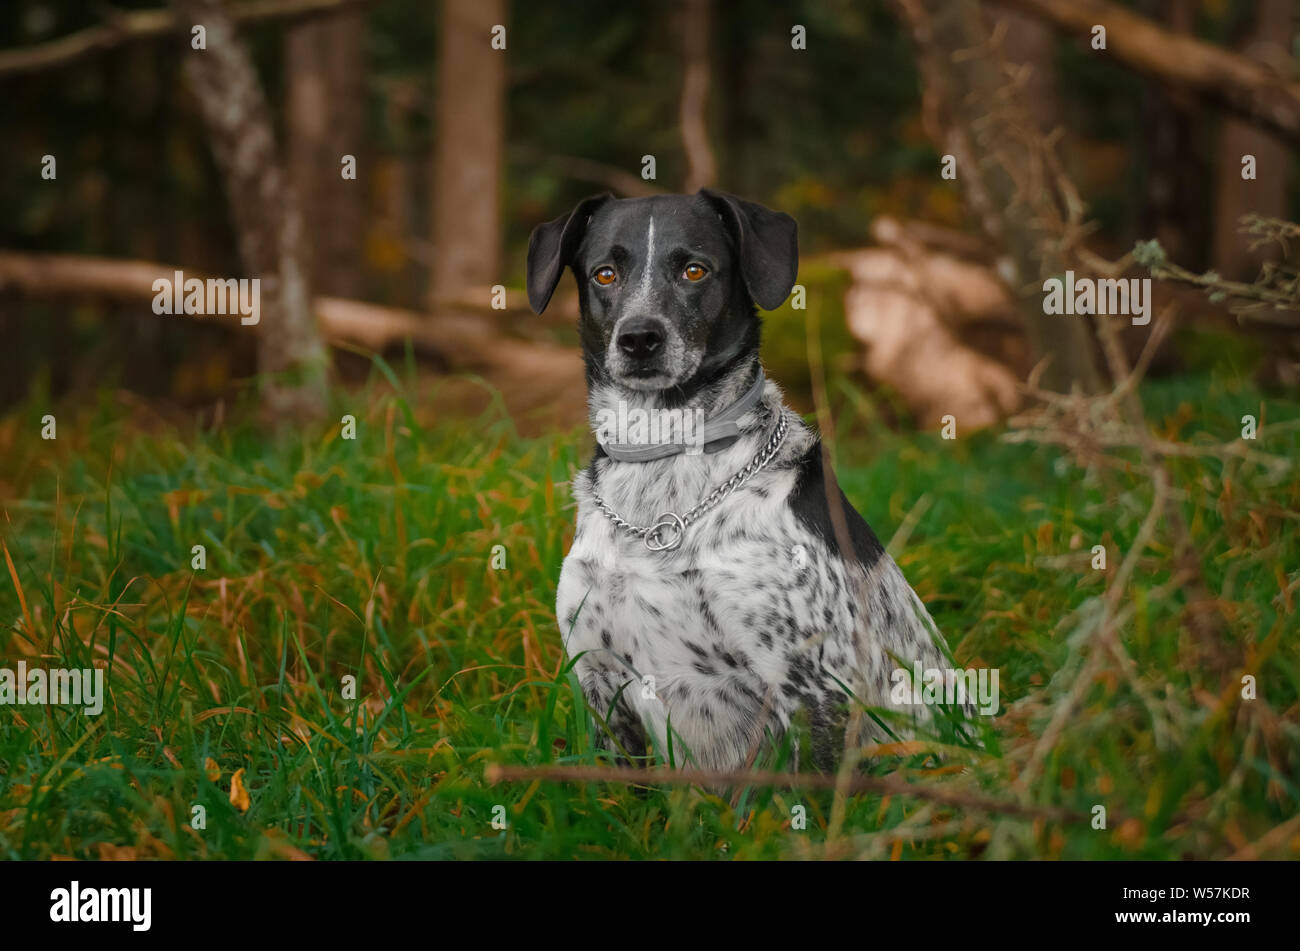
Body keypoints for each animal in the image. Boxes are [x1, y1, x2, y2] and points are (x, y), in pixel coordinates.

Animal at [522, 187, 961, 774]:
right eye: (605, 274)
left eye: (694, 269)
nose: (639, 338)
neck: (665, 457)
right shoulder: (600, 682)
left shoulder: (812, 688)